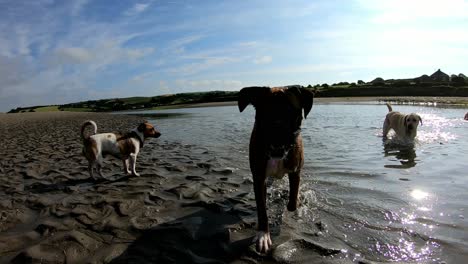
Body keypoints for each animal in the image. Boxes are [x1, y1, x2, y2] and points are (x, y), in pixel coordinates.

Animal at [239, 85, 312, 253]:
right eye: (266, 111)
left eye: (291, 111)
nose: (277, 126)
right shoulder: (259, 178)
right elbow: (262, 209)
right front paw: (263, 235)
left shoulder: (295, 172)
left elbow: (292, 201)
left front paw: (293, 202)